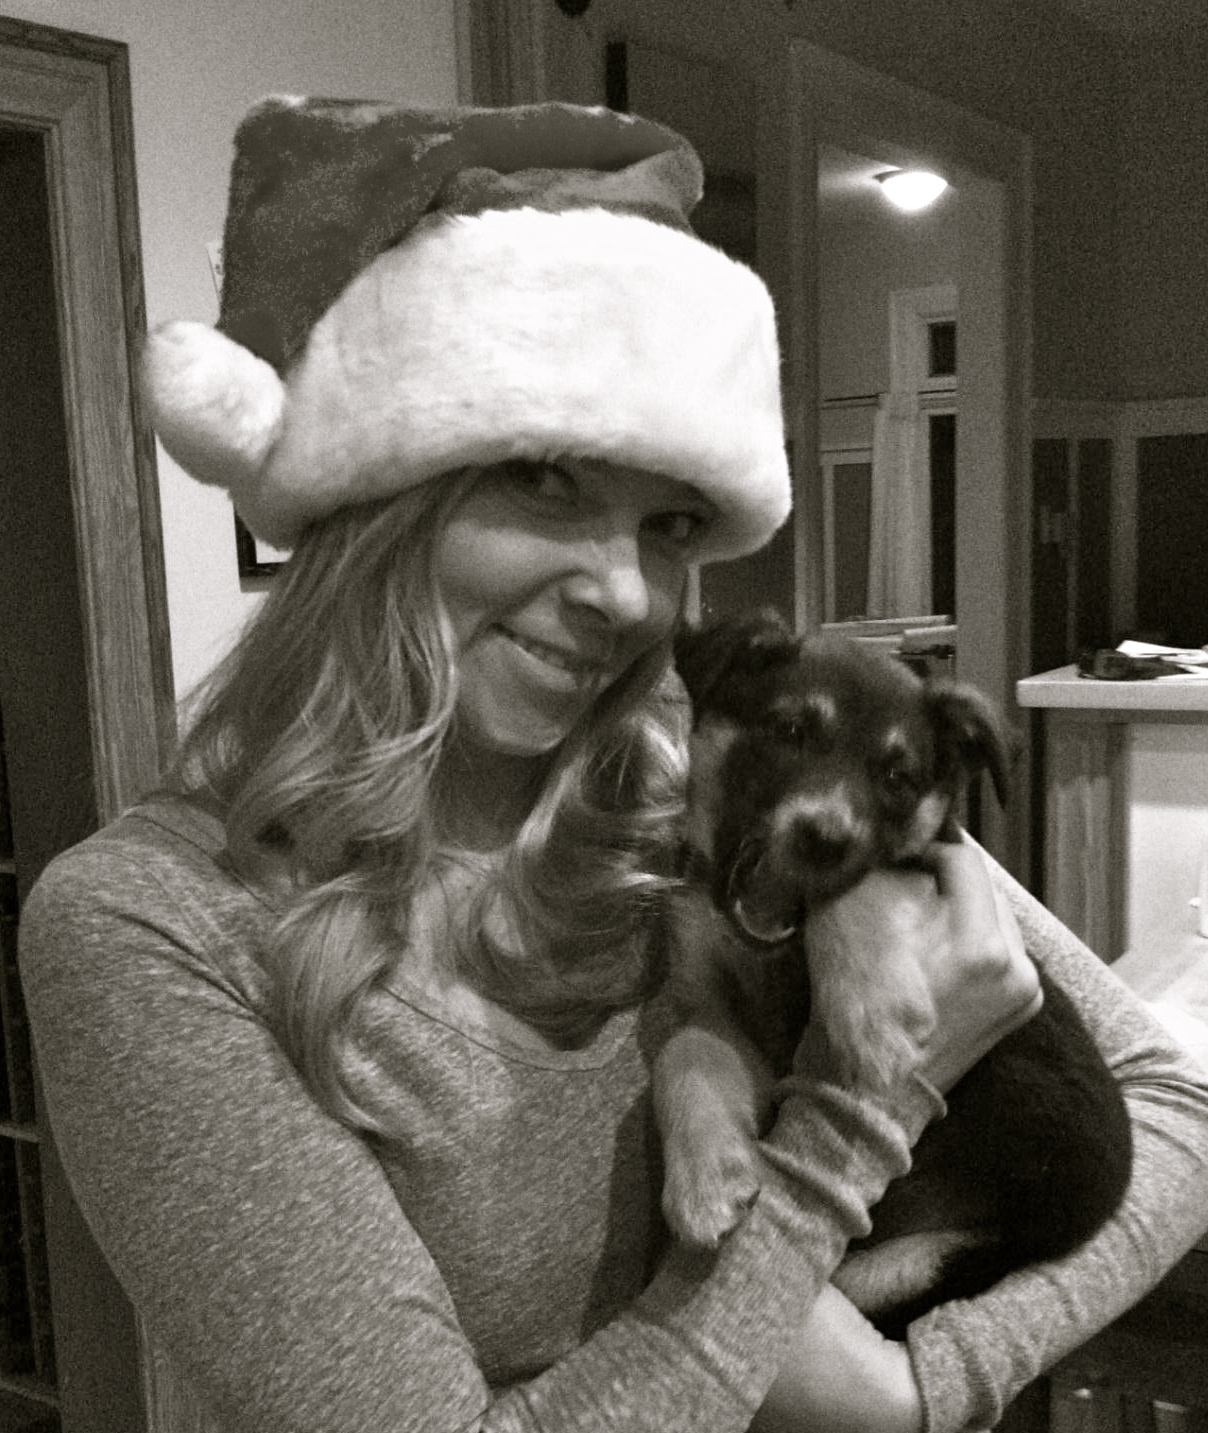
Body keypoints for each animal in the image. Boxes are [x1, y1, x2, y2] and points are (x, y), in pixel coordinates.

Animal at [653, 612, 1132, 1335]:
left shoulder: (916, 860)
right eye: (789, 732)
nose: (826, 838)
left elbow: (854, 891)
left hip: (927, 1252)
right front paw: (704, 1177)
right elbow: (683, 1055)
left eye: (898, 779)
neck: (771, 957)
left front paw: (873, 1022)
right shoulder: (715, 1014)